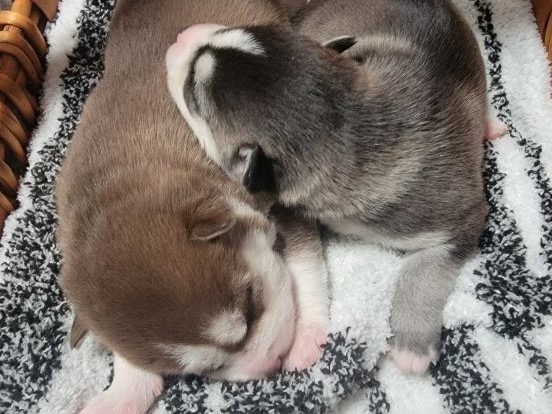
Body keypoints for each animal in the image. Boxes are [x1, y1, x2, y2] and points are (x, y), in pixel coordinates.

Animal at [166, 0, 490, 375]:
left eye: (192, 92)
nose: (181, 35)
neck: (356, 127)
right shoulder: (284, 208)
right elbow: (307, 262)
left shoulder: (460, 217)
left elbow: (425, 272)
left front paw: (412, 347)